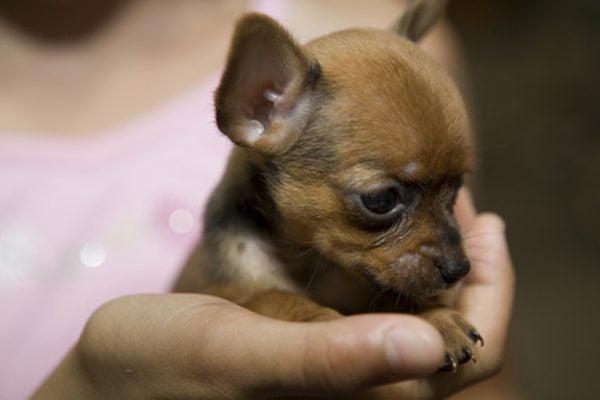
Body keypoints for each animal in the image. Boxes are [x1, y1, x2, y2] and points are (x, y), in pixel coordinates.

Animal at [173, 1, 478, 374]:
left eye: (457, 189)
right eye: (381, 199)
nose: (459, 268)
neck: (307, 260)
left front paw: (433, 316)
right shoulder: (239, 294)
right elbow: (277, 299)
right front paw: (316, 317)